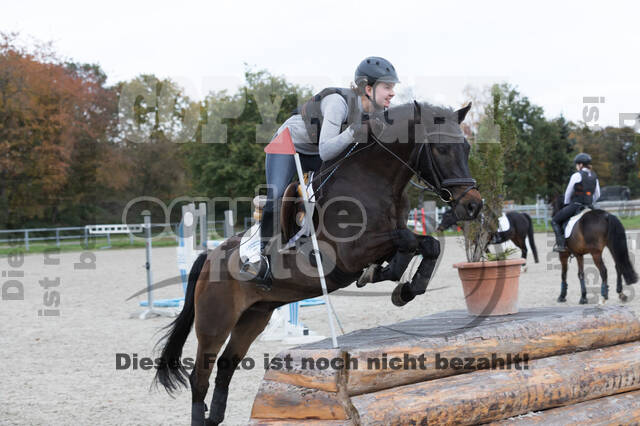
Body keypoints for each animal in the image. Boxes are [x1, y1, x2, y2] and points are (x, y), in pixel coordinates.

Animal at [152, 100, 480, 426]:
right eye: (441, 148)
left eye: (466, 148)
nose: (473, 205)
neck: (373, 180)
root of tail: (209, 257)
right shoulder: (349, 253)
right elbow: (408, 240)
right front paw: (397, 281)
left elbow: (424, 244)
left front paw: (404, 286)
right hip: (215, 322)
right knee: (200, 376)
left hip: (254, 317)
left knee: (226, 364)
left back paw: (216, 415)